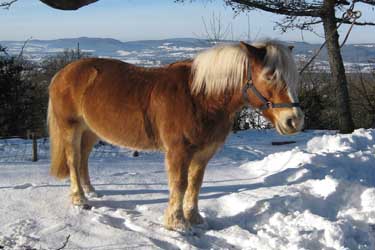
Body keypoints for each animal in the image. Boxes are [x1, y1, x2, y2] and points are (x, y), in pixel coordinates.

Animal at [47, 39, 306, 230]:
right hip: (71, 128)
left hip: (90, 131)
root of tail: (62, 74)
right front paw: (177, 223)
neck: (200, 96)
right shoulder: (178, 152)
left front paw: (195, 218)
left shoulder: (203, 153)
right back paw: (79, 198)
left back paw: (91, 191)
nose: (294, 120)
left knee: (83, 159)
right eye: (269, 75)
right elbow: (179, 184)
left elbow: (195, 183)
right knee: (73, 160)